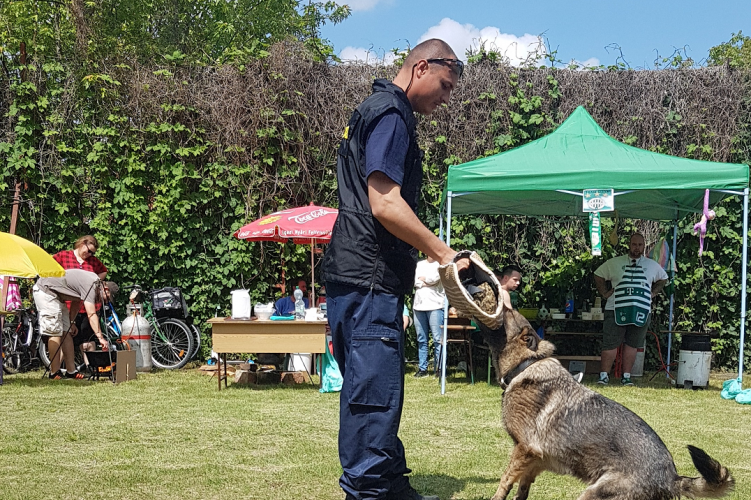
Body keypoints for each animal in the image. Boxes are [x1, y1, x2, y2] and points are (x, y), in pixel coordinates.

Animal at [475, 309, 735, 500]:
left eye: (505, 313)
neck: (527, 364)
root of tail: (672, 478)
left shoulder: (524, 449)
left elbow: (505, 480)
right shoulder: (535, 460)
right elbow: (522, 486)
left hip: (592, 494)